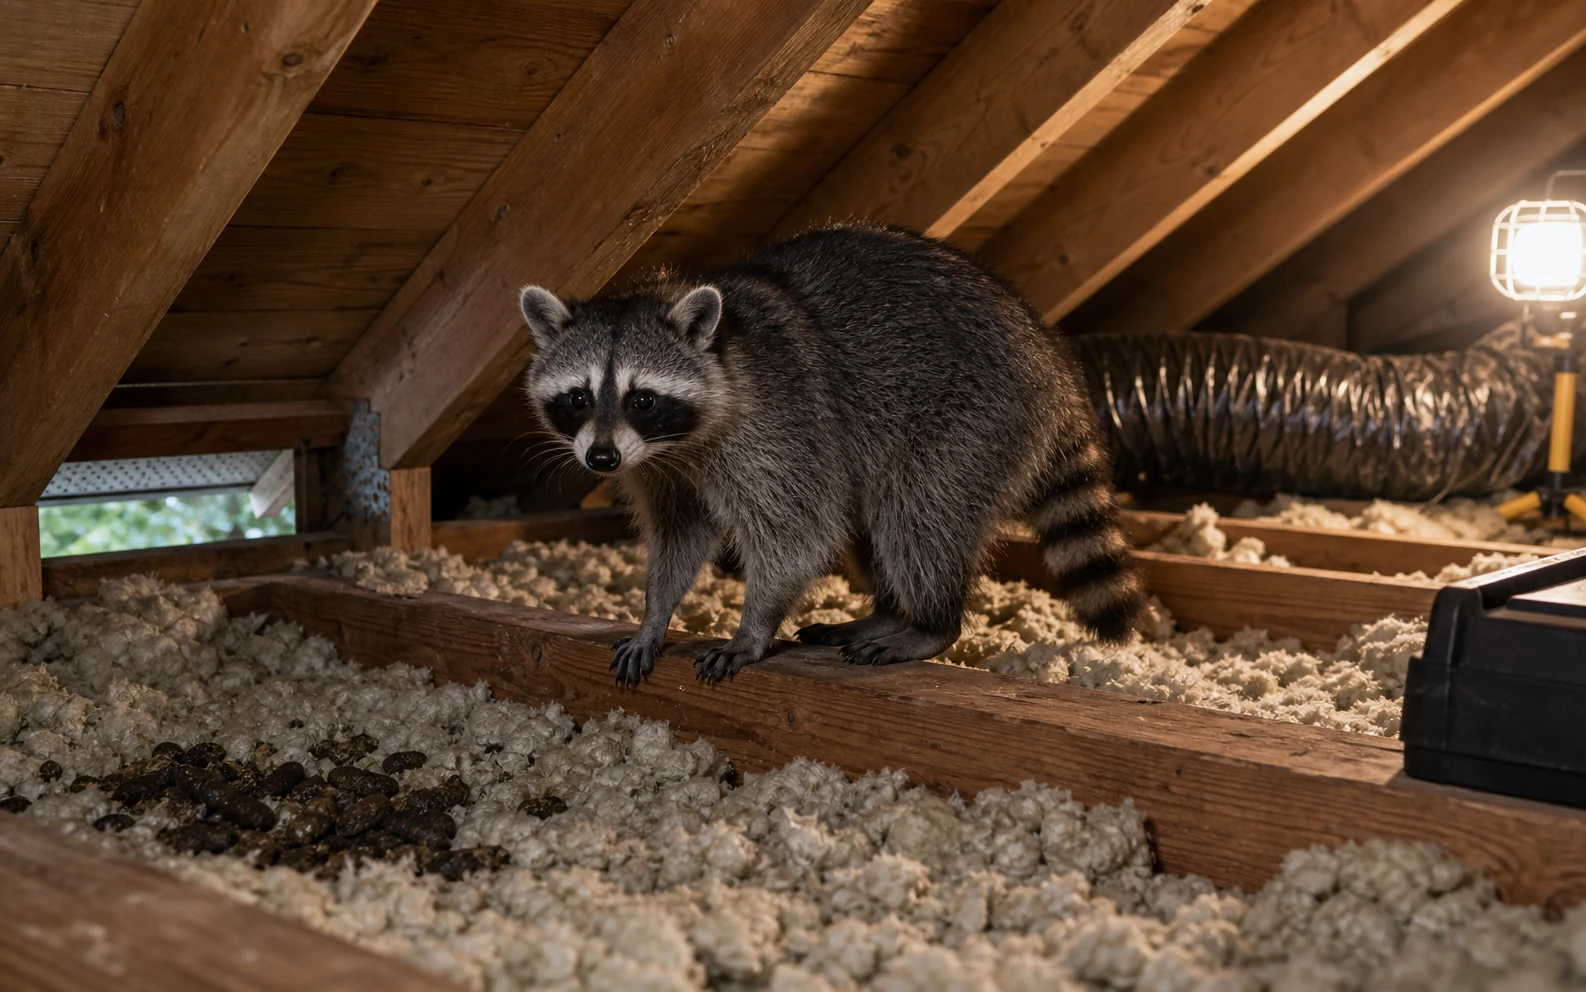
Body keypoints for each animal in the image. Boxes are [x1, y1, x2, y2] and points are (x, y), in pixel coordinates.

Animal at [518, 223, 1144, 685]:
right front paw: (655, 614)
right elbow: (681, 532)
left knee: (918, 511)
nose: (600, 461)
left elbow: (799, 532)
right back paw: (887, 611)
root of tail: (1051, 357)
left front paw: (752, 628)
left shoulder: (779, 424)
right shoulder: (659, 466)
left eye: (642, 399)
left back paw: (931, 623)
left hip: (974, 415)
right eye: (577, 398)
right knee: (876, 519)